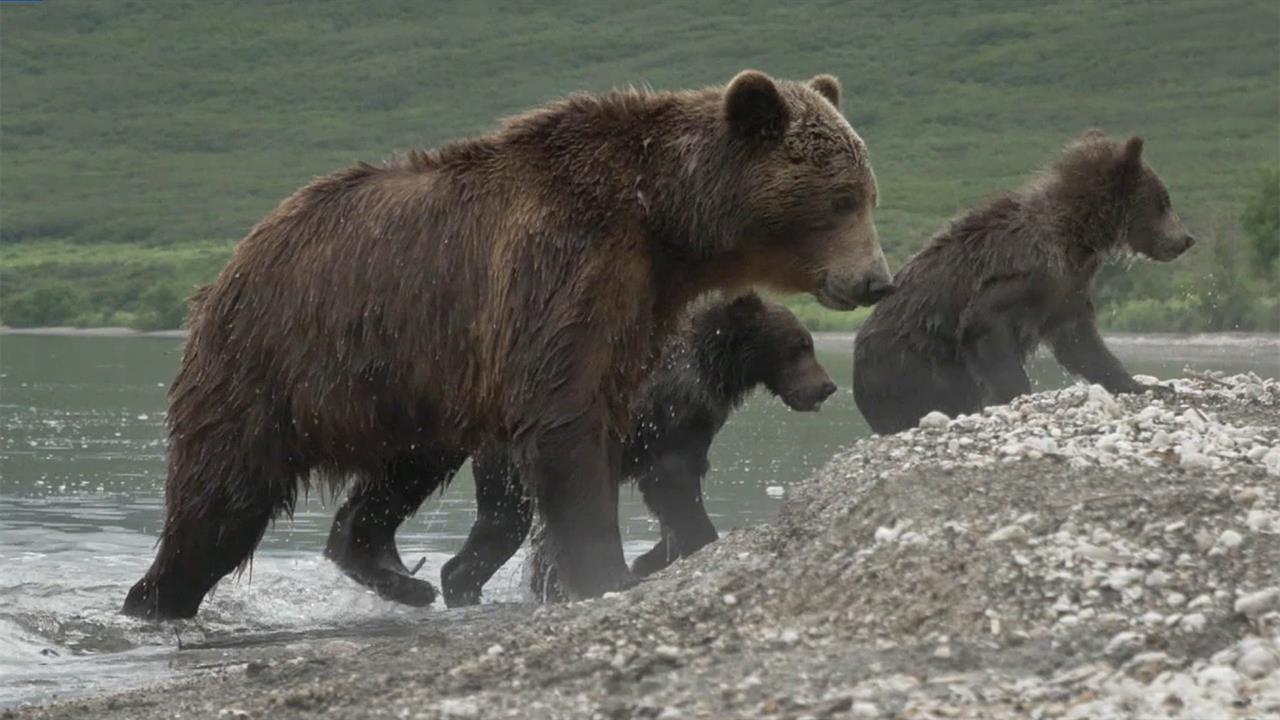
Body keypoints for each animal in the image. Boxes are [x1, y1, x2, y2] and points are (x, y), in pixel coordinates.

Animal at [124, 70, 896, 617]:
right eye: (840, 198)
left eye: (869, 192)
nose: (877, 280)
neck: (666, 225)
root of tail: (235, 259)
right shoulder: (559, 271)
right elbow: (569, 423)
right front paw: (604, 571)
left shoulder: (634, 309)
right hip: (272, 362)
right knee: (219, 500)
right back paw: (158, 600)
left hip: (409, 384)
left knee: (400, 472)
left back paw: (395, 574)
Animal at [855, 128, 1192, 430]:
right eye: (1163, 202)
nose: (1187, 239)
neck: (1077, 236)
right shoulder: (1021, 277)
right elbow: (989, 330)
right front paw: (1011, 398)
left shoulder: (1067, 289)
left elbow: (1083, 344)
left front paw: (1145, 385)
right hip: (911, 362)